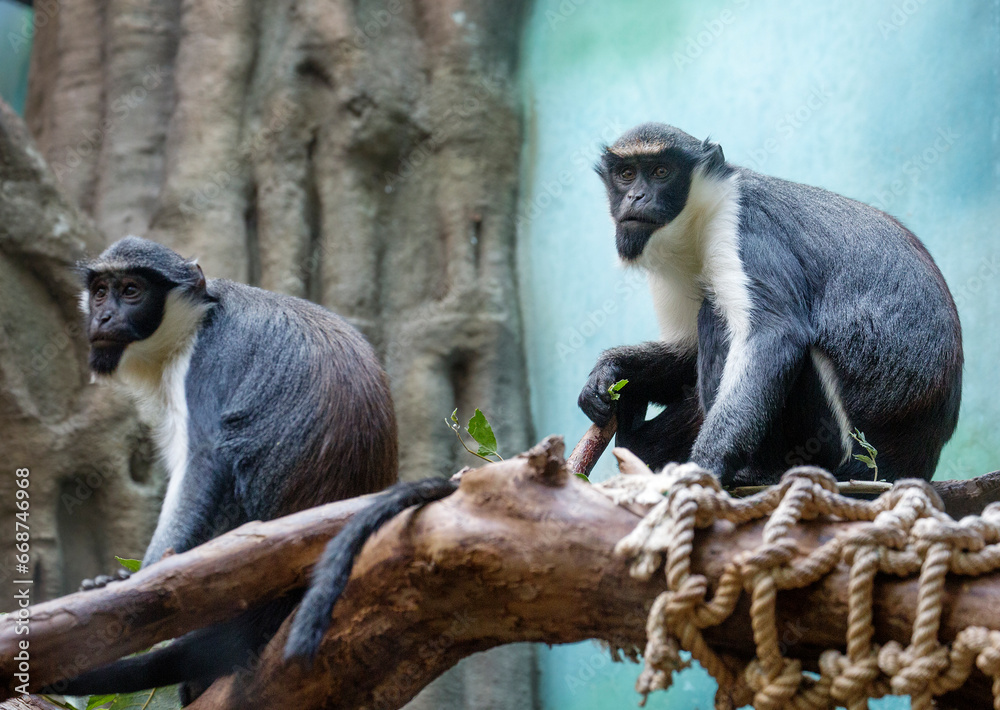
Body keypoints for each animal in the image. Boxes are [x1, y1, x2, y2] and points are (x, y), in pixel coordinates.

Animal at [46, 236, 398, 704]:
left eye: (132, 290)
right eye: (101, 291)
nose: (103, 316)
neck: (196, 318)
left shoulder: (208, 360)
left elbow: (205, 463)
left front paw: (134, 587)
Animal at [580, 124, 960, 490]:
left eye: (661, 171)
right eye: (626, 174)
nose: (636, 196)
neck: (700, 220)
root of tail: (910, 465)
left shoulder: (745, 226)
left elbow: (774, 333)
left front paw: (705, 467)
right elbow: (686, 354)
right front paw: (611, 370)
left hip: (838, 445)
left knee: (714, 315)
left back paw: (754, 473)